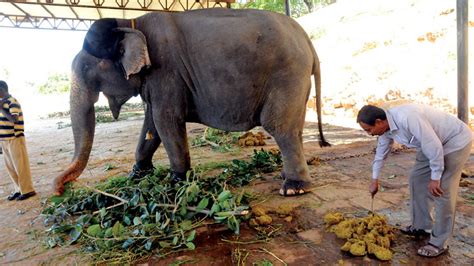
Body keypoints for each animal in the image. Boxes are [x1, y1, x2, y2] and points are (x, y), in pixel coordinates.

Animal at [53, 7, 330, 196]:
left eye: (88, 68)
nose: (60, 190)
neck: (129, 22)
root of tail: (309, 43)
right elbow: (151, 124)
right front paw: (138, 174)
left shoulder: (166, 70)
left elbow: (166, 121)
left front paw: (176, 181)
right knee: (293, 127)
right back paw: (288, 176)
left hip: (287, 74)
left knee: (279, 126)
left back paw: (293, 188)